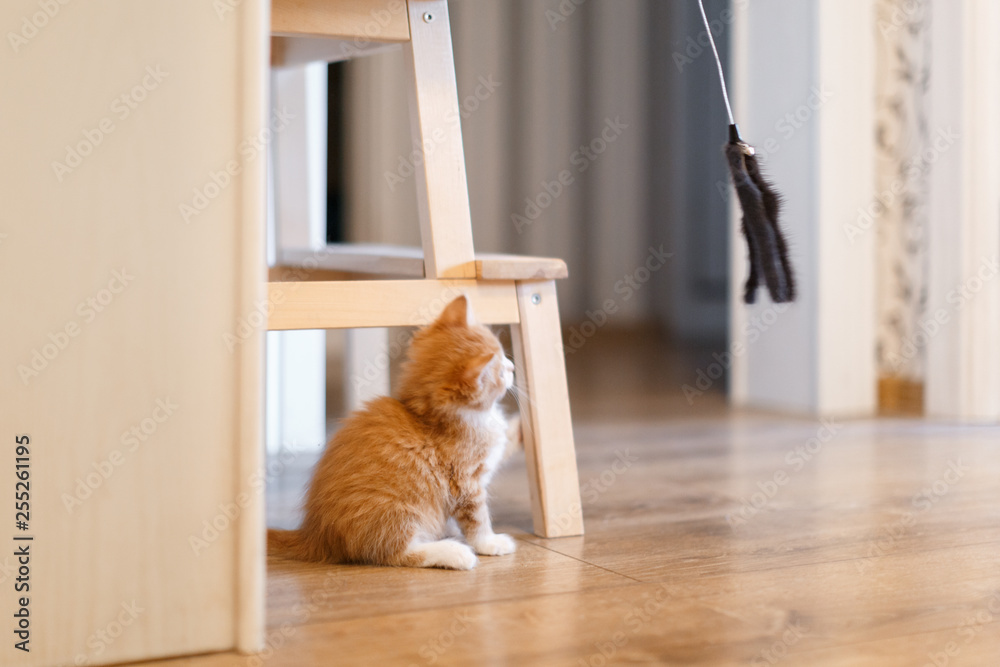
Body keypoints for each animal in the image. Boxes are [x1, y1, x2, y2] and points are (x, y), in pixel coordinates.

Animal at [270, 294, 520, 572]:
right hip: (397, 513)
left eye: (504, 357)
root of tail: (315, 536)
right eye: (500, 372)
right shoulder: (466, 481)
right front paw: (490, 543)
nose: (512, 367)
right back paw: (453, 553)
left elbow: (510, 438)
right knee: (395, 553)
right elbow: (477, 518)